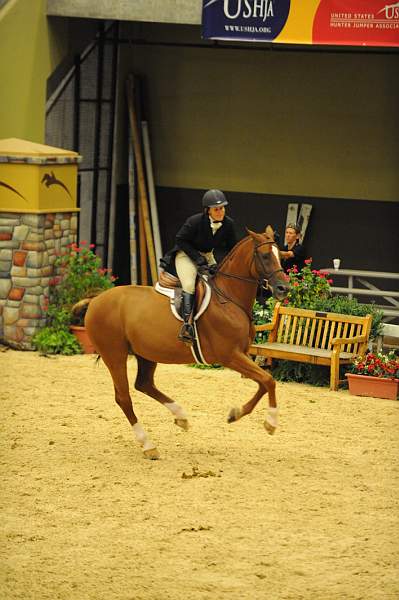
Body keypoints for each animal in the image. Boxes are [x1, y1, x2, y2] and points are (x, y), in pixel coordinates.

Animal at [85, 226, 290, 460]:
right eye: (265, 256)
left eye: (281, 256)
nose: (284, 288)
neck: (229, 298)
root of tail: (96, 300)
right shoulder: (230, 356)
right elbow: (268, 380)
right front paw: (271, 422)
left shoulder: (243, 355)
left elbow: (264, 382)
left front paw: (235, 414)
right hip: (115, 355)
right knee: (124, 397)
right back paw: (148, 445)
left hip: (146, 353)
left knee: (144, 384)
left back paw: (181, 417)